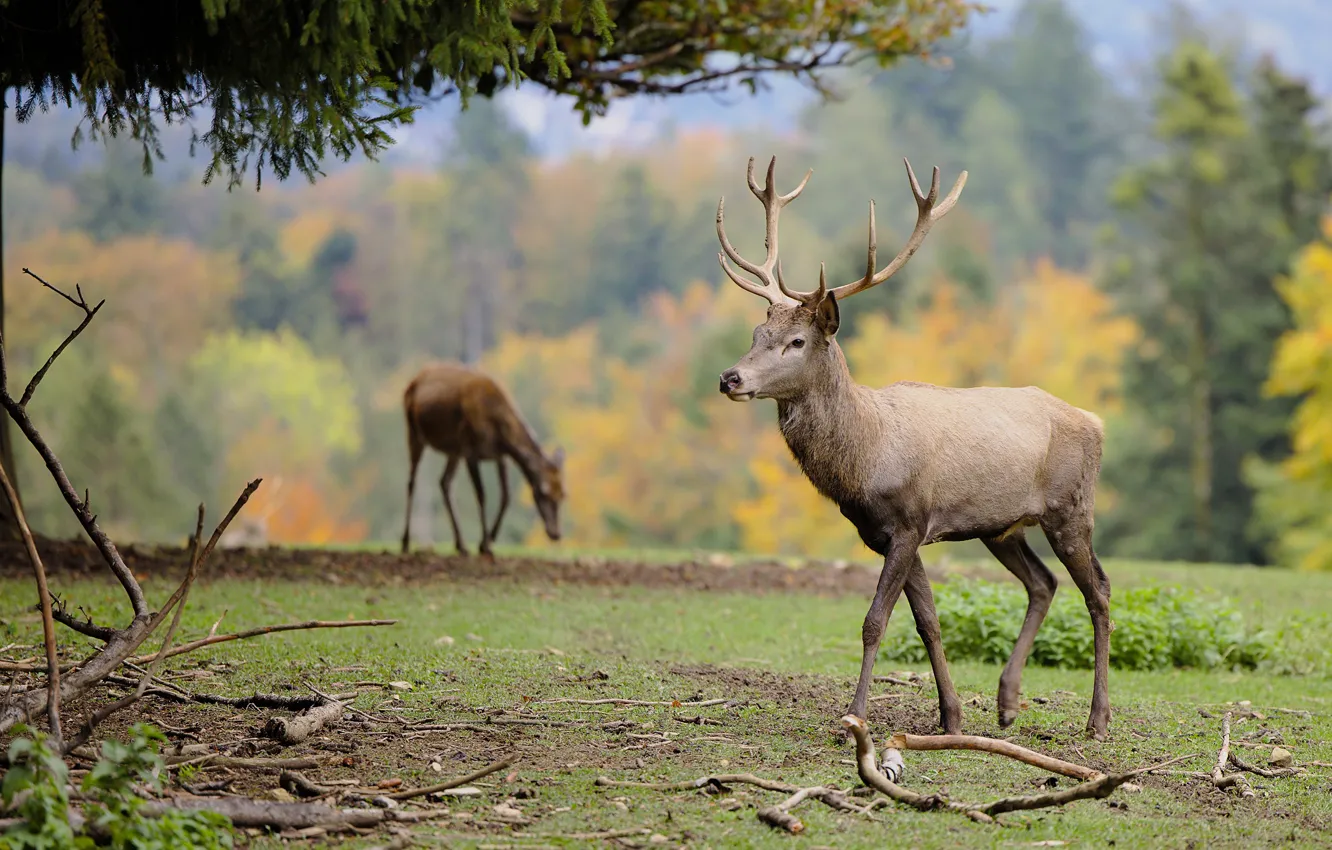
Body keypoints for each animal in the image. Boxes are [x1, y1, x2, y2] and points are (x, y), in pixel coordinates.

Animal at [401, 362, 565, 558]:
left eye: (563, 495)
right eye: (543, 493)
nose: (556, 533)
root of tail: (413, 380)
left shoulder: (500, 456)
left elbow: (506, 496)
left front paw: (488, 541)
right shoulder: (471, 450)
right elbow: (481, 495)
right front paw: (484, 544)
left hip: (454, 450)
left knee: (444, 482)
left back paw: (461, 545)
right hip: (414, 431)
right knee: (411, 482)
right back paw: (405, 542)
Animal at [714, 157, 1113, 740]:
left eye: (797, 342)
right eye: (755, 333)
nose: (730, 378)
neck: (865, 459)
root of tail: (1095, 421)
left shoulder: (909, 521)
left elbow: (874, 621)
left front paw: (855, 715)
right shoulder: (891, 535)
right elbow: (928, 622)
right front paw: (950, 717)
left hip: (1071, 507)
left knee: (1098, 590)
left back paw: (1097, 718)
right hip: (1001, 526)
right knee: (1043, 583)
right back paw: (1007, 702)